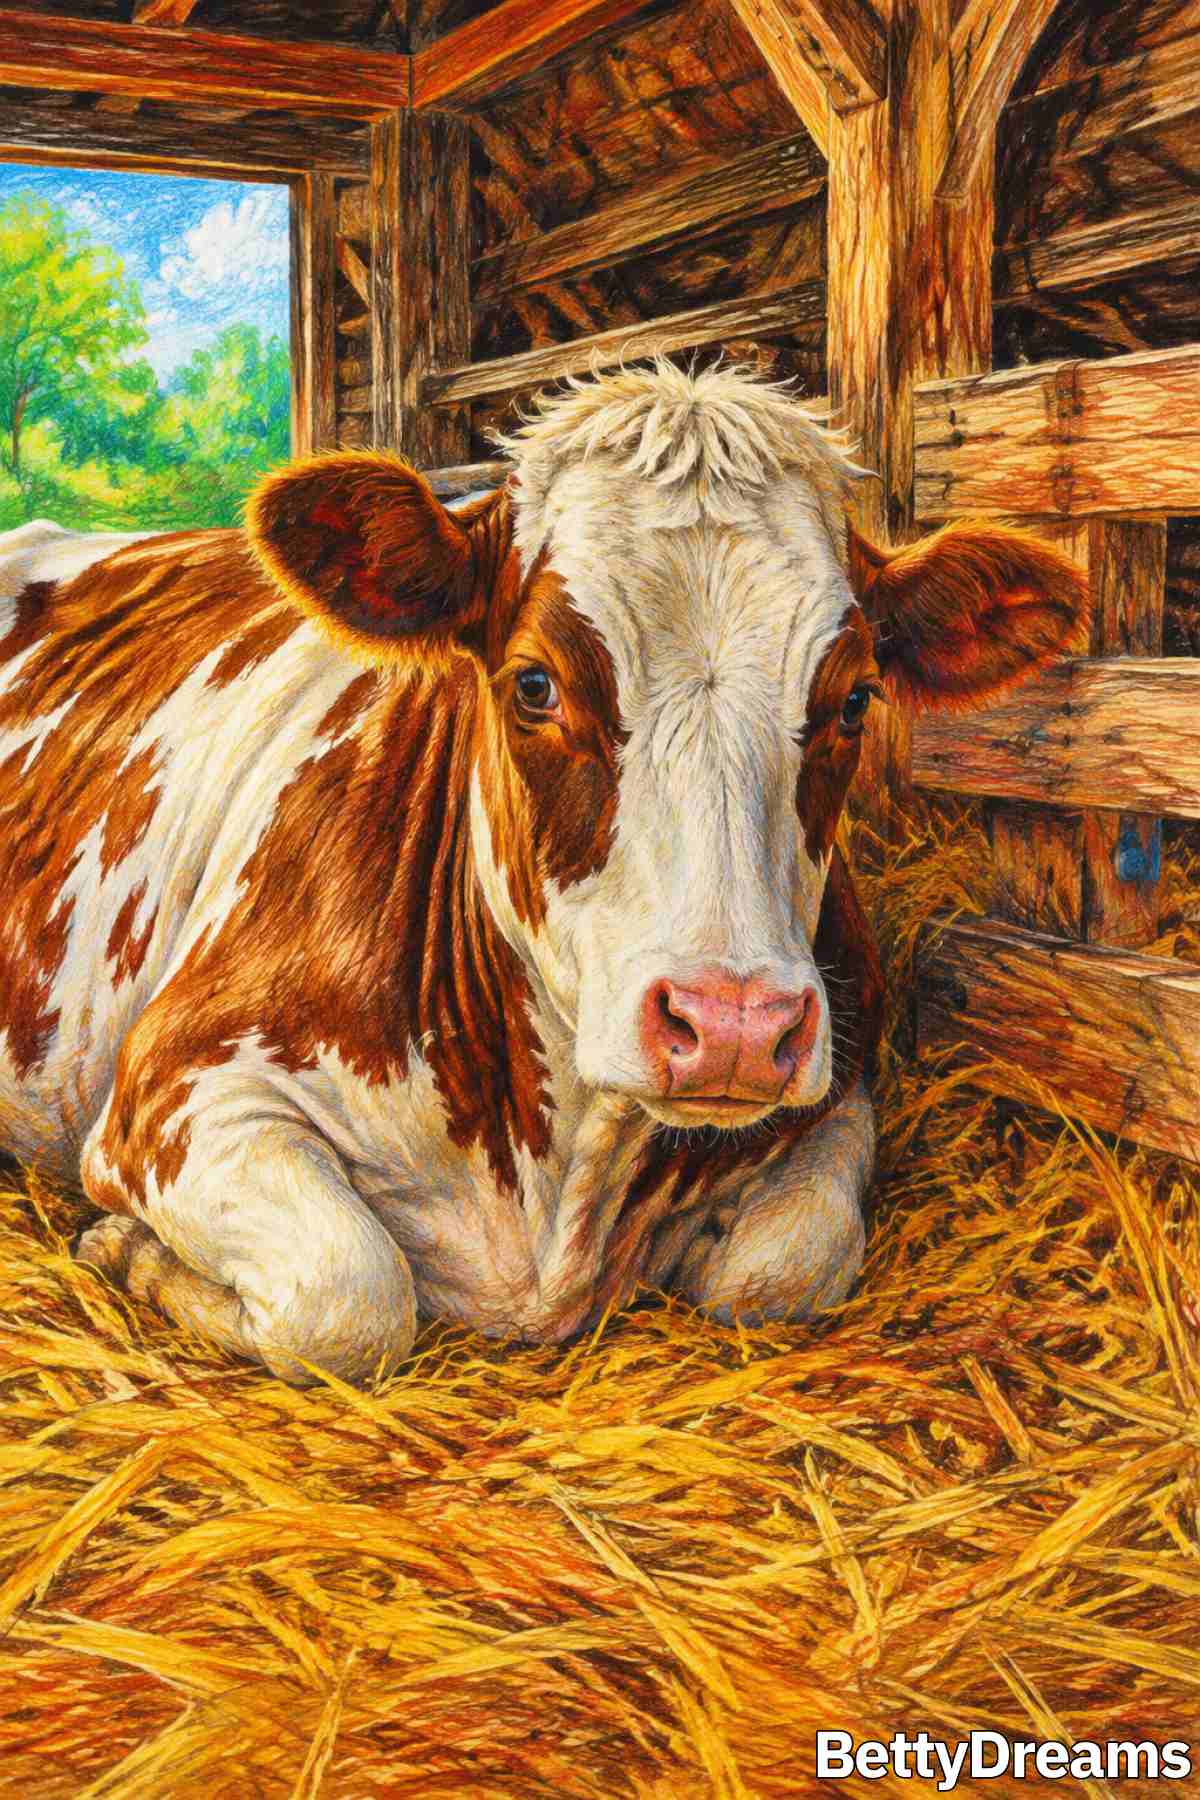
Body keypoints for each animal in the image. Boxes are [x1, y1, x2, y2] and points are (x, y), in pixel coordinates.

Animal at [0, 362, 1086, 1385]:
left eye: (856, 697)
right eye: (534, 684)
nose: (732, 1028)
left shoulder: (842, 1084)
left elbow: (783, 1267)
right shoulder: (172, 1085)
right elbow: (347, 1295)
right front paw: (122, 1246)